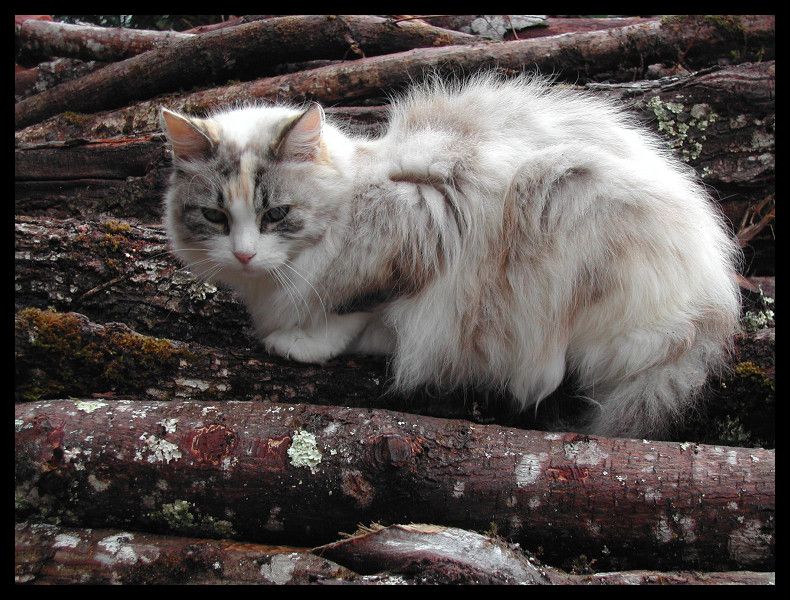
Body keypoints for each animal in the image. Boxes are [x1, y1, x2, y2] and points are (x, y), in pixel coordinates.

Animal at [161, 72, 741, 438]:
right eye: (215, 217)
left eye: (276, 214)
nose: (243, 255)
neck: (353, 195)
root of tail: (711, 297)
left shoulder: (419, 232)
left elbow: (361, 310)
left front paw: (299, 341)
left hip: (557, 192)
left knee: (550, 368)